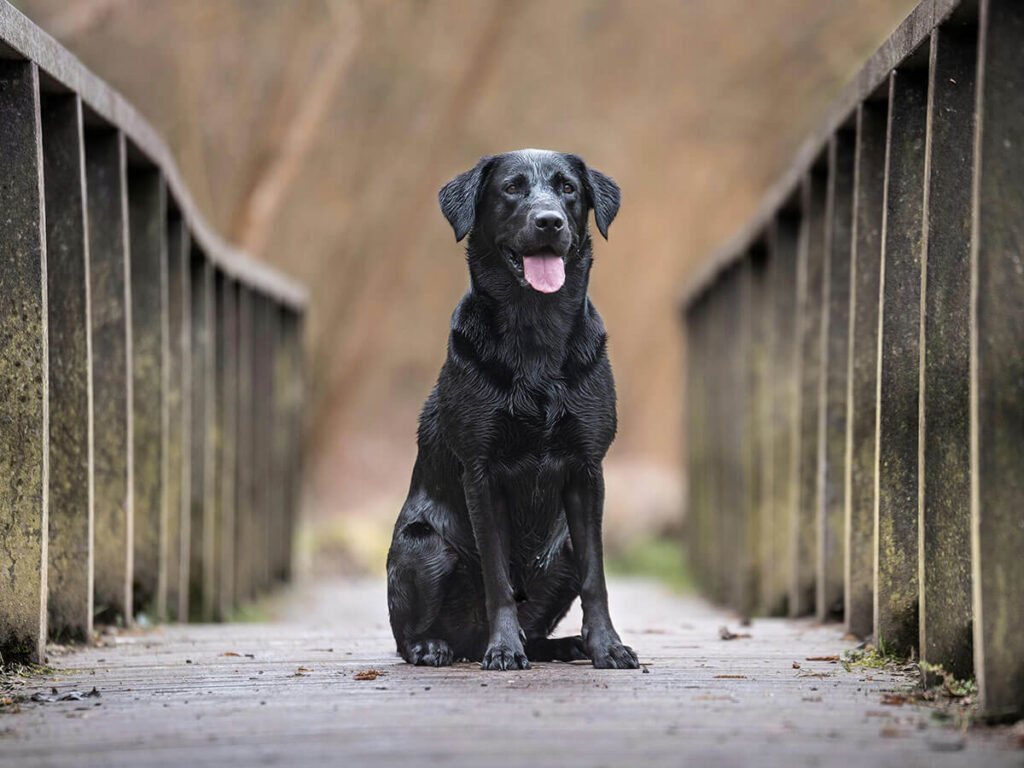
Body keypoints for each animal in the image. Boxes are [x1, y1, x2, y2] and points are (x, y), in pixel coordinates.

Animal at [385, 147, 634, 671]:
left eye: (568, 189)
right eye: (512, 188)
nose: (549, 221)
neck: (535, 331)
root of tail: (466, 642)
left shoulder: (587, 470)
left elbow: (596, 577)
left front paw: (607, 646)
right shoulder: (482, 472)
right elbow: (498, 577)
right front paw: (504, 649)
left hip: (561, 549)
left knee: (539, 623)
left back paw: (563, 645)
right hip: (424, 545)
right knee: (406, 637)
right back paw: (436, 646)